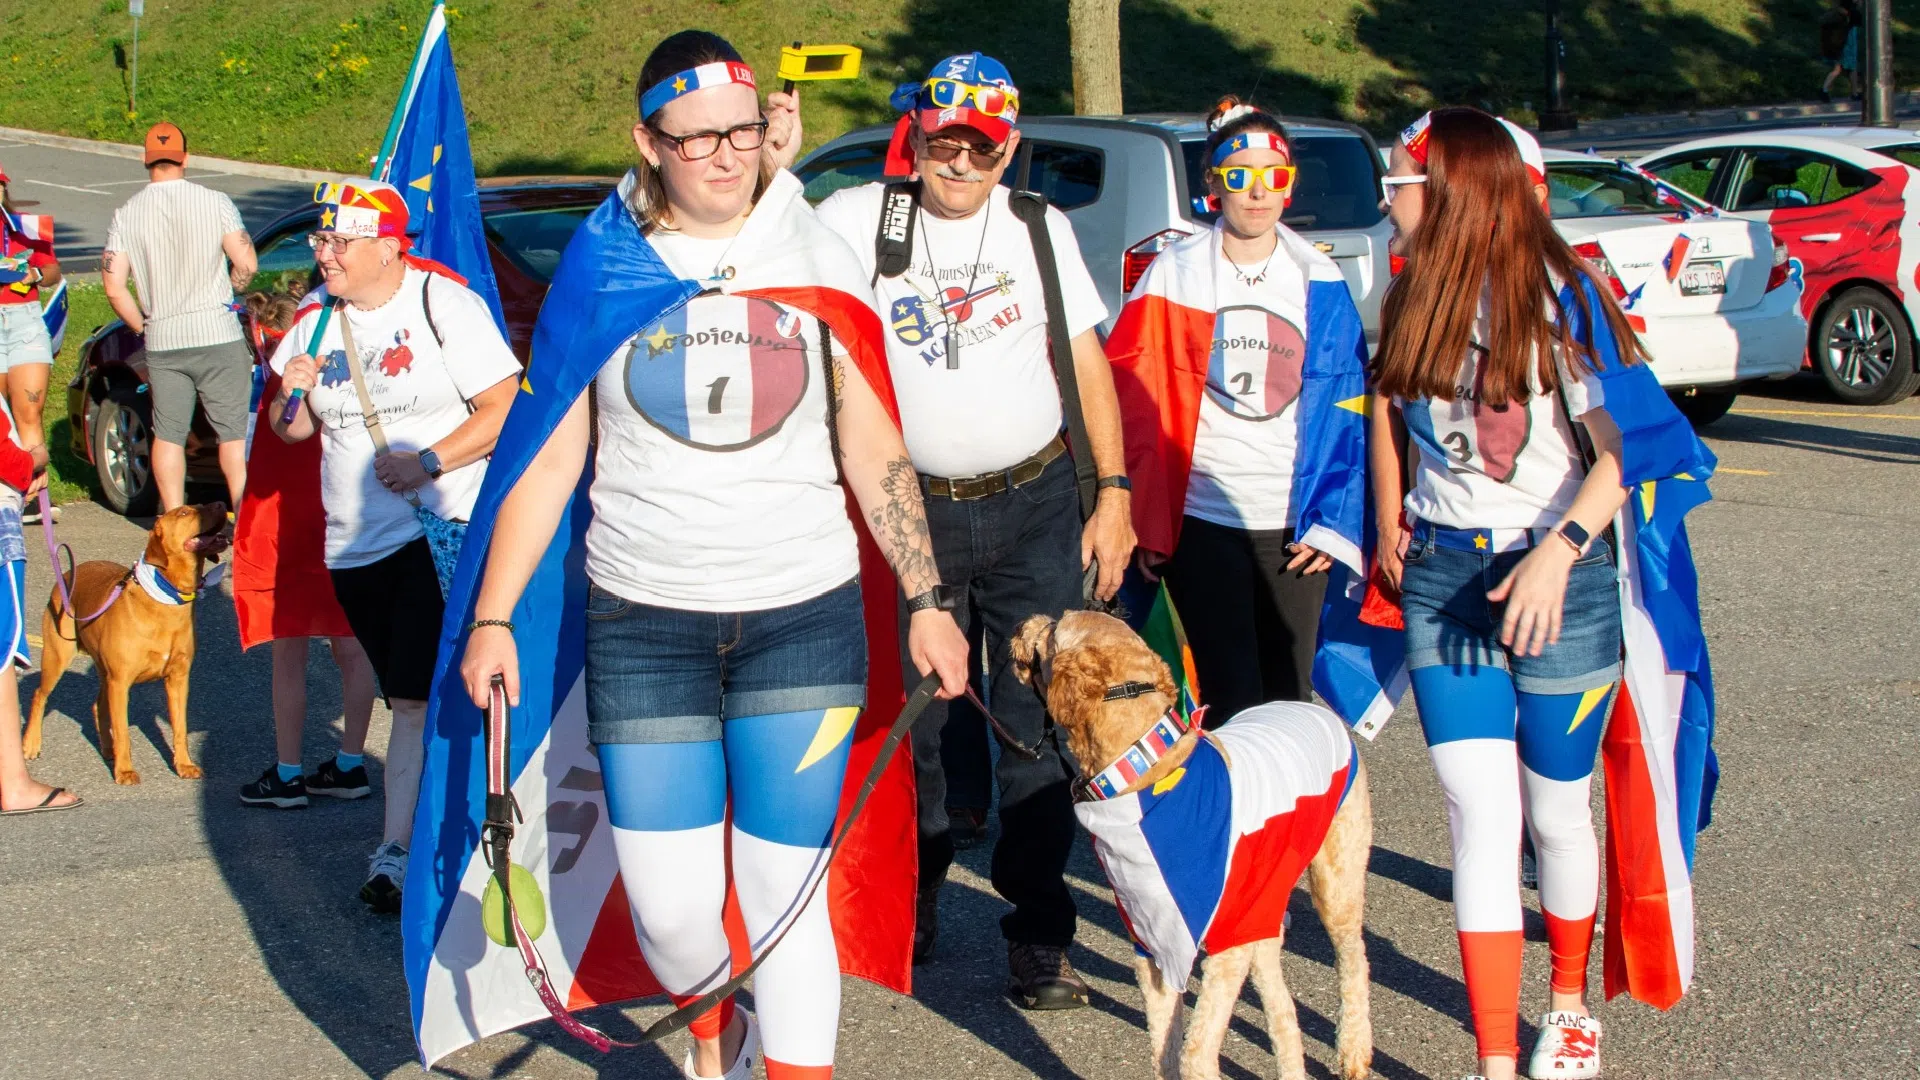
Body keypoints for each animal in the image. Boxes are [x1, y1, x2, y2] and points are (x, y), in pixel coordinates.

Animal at [24, 503, 230, 780]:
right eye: (184, 513)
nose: (221, 503)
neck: (167, 599)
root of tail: (67, 573)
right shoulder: (120, 682)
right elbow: (123, 731)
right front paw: (124, 771)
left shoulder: (178, 679)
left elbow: (180, 727)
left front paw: (184, 764)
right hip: (58, 656)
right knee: (39, 696)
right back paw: (31, 744)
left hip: (103, 670)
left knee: (97, 706)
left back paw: (107, 749)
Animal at [1013, 611, 1374, 1068]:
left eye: (1055, 628)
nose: (1025, 622)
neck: (1145, 769)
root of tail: (1312, 709)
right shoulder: (1154, 942)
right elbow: (1165, 1048)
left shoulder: (1223, 945)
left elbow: (1196, 1051)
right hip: (1261, 905)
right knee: (1281, 1000)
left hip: (1335, 881)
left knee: (1354, 960)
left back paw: (1353, 1052)